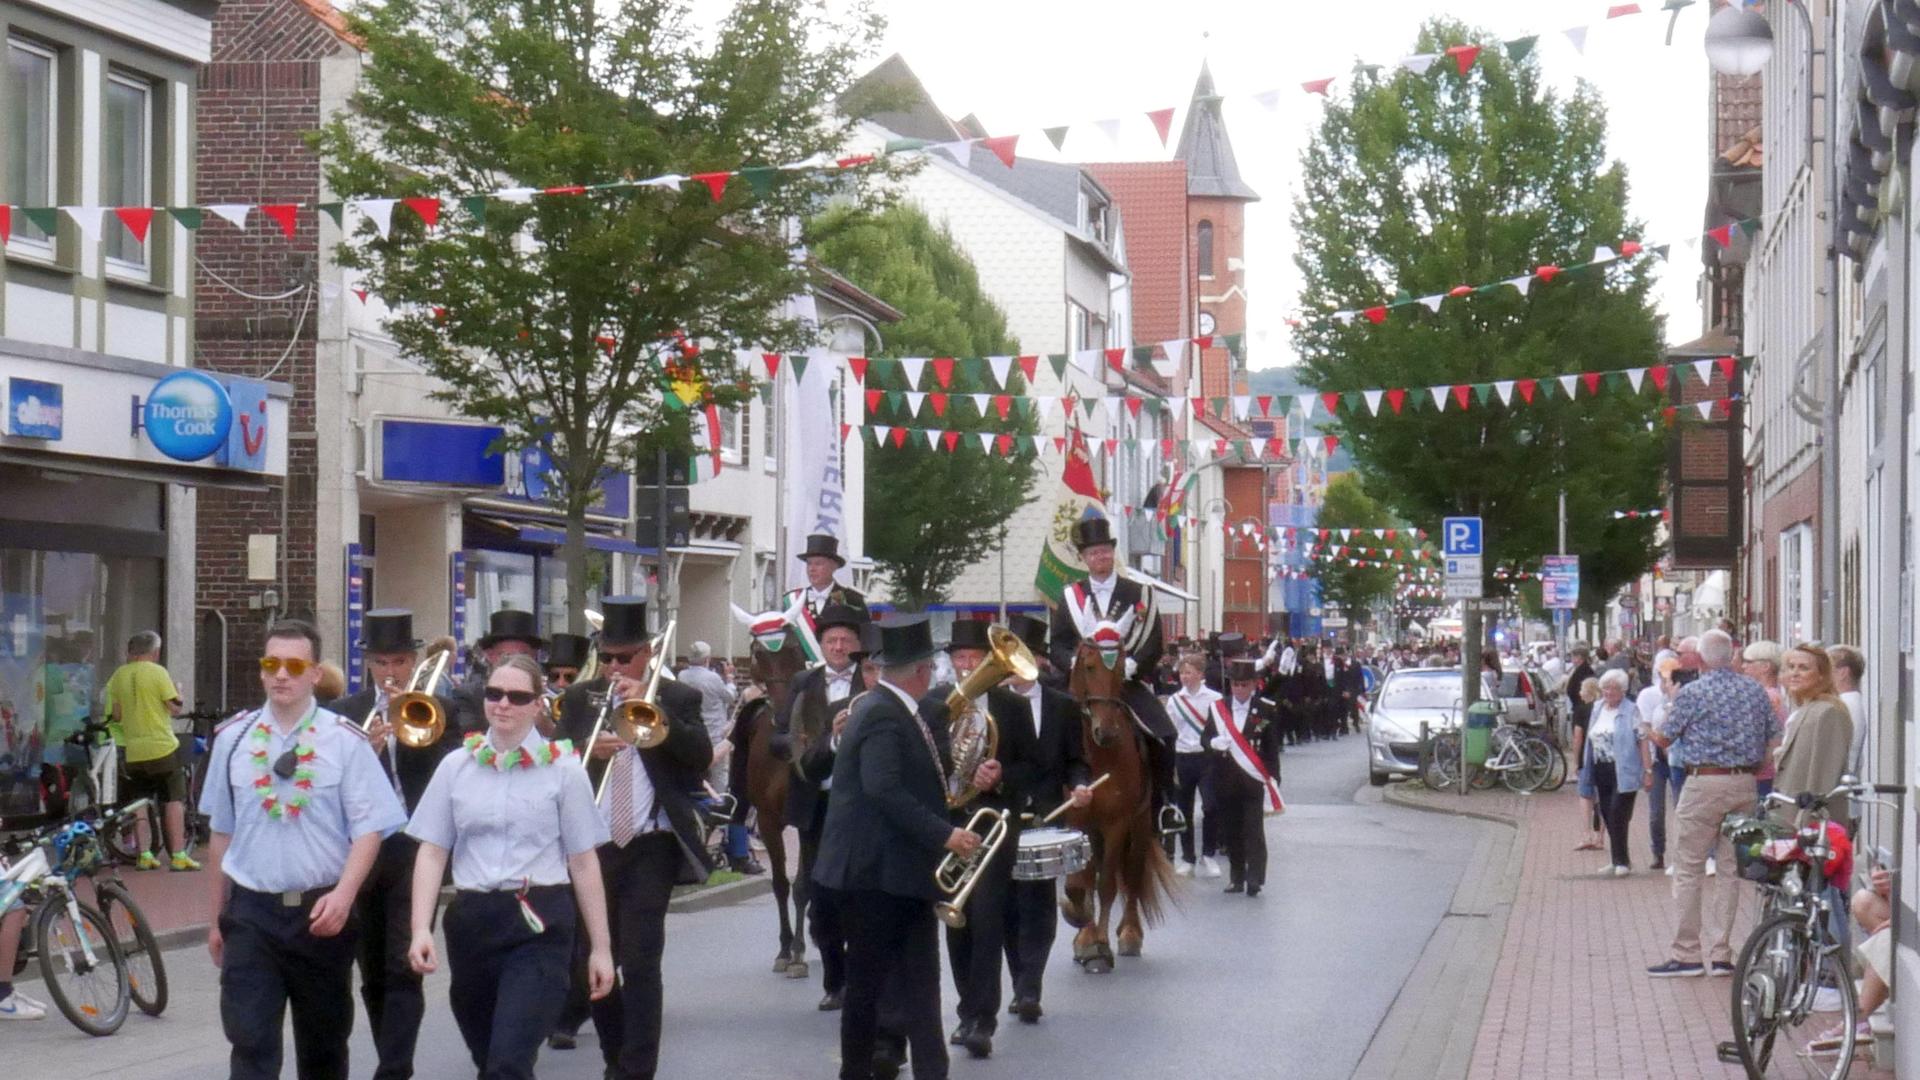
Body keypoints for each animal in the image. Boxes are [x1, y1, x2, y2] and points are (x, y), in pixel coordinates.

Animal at [1059, 634, 1175, 972]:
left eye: (1123, 669)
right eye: (1088, 666)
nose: (1106, 731)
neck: (1097, 757)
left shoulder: (1116, 823)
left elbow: (1107, 883)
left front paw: (1100, 948)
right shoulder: (1075, 822)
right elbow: (1079, 883)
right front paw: (1083, 930)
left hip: (1140, 823)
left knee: (1133, 875)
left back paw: (1130, 934)